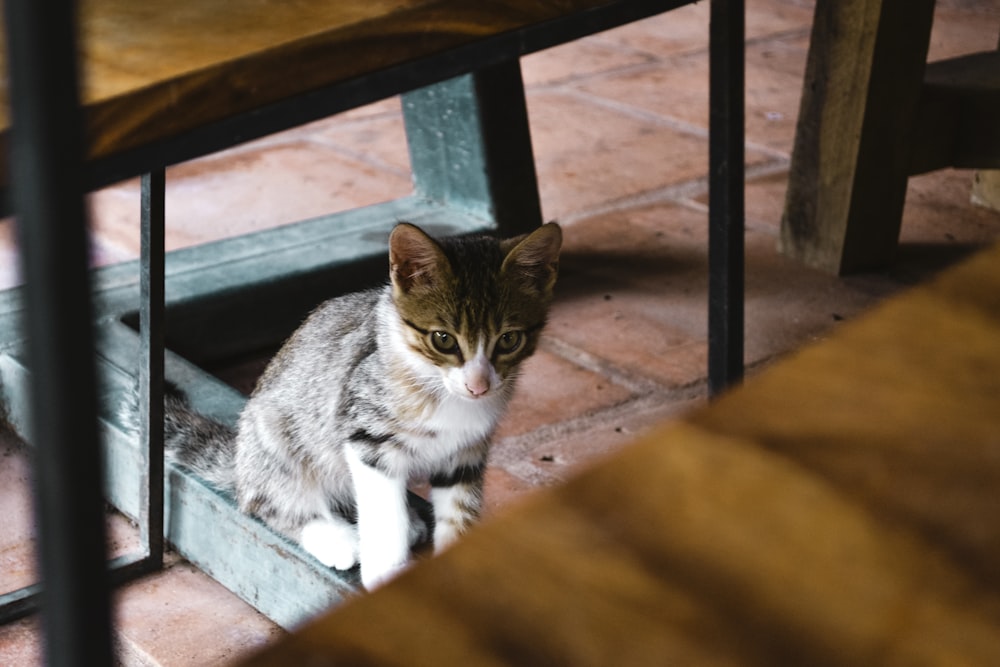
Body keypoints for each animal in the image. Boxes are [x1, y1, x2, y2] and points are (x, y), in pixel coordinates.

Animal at [141, 222, 564, 588]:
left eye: (509, 340)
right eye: (443, 339)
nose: (478, 385)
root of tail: (240, 461)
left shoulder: (466, 453)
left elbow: (459, 511)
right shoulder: (367, 436)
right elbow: (382, 513)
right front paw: (387, 574)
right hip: (275, 434)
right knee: (267, 503)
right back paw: (338, 538)